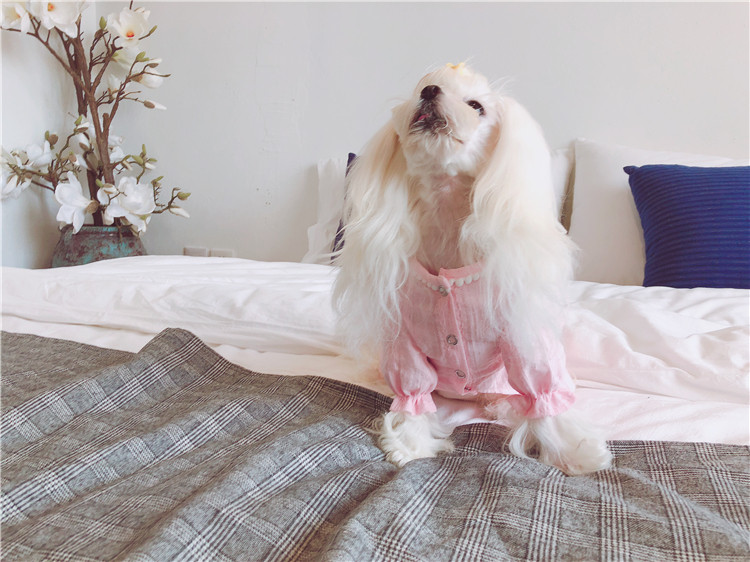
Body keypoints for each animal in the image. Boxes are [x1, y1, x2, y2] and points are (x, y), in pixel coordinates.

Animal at [334, 63, 612, 475]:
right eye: (420, 88)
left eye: (477, 106)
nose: (430, 92)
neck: (446, 211)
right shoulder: (403, 339)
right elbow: (412, 393)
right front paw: (411, 444)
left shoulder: (521, 335)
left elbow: (542, 391)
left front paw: (574, 453)